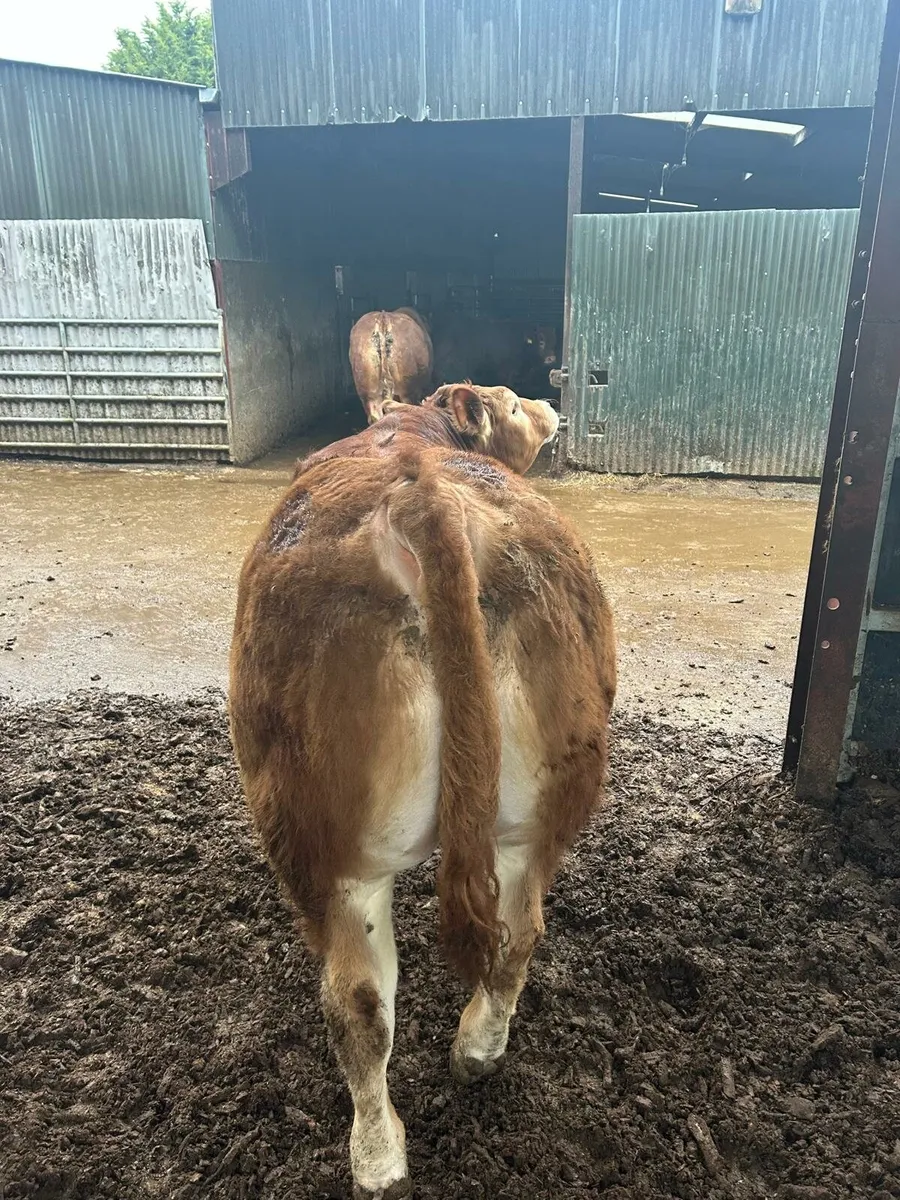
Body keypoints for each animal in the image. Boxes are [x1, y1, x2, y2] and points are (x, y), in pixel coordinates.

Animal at [229, 383, 615, 1198]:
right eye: (512, 403)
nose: (551, 404)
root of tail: (421, 493)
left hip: (325, 845)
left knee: (358, 1004)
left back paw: (378, 1160)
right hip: (538, 812)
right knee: (517, 934)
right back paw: (476, 1052)